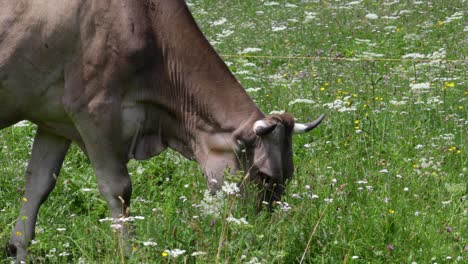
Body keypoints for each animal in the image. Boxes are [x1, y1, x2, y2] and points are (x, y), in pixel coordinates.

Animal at [0, 0, 324, 260]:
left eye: (289, 176)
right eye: (266, 176)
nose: (263, 234)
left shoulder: (54, 121)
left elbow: (38, 185)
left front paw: (18, 250)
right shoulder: (94, 111)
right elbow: (118, 189)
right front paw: (130, 254)